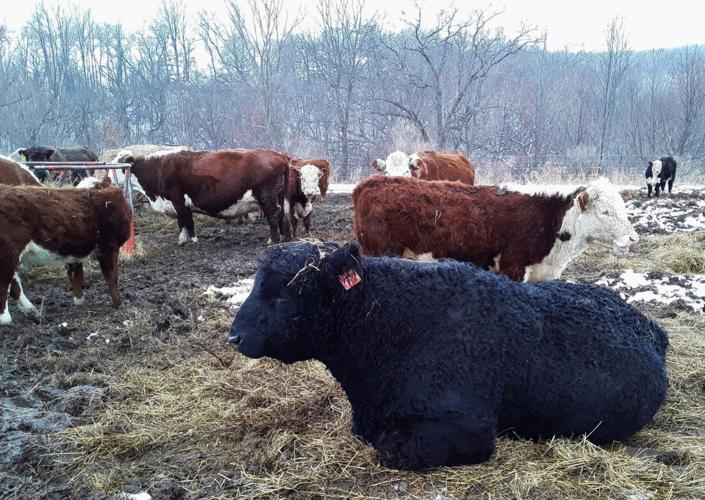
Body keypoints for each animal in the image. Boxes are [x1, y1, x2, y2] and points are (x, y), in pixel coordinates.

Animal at [0, 180, 131, 325]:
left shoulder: (73, 253)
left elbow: (76, 276)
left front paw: (79, 302)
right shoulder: (108, 245)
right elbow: (112, 276)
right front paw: (118, 303)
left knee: (13, 284)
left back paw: (33, 312)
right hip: (8, 254)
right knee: (5, 285)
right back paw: (6, 318)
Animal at [115, 148, 292, 245]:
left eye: (119, 165)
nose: (109, 178)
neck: (158, 168)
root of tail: (278, 154)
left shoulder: (178, 201)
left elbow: (187, 222)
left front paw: (191, 240)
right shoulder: (179, 205)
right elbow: (183, 223)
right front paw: (183, 240)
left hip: (267, 197)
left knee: (273, 215)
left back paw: (273, 239)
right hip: (277, 197)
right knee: (281, 214)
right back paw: (283, 237)